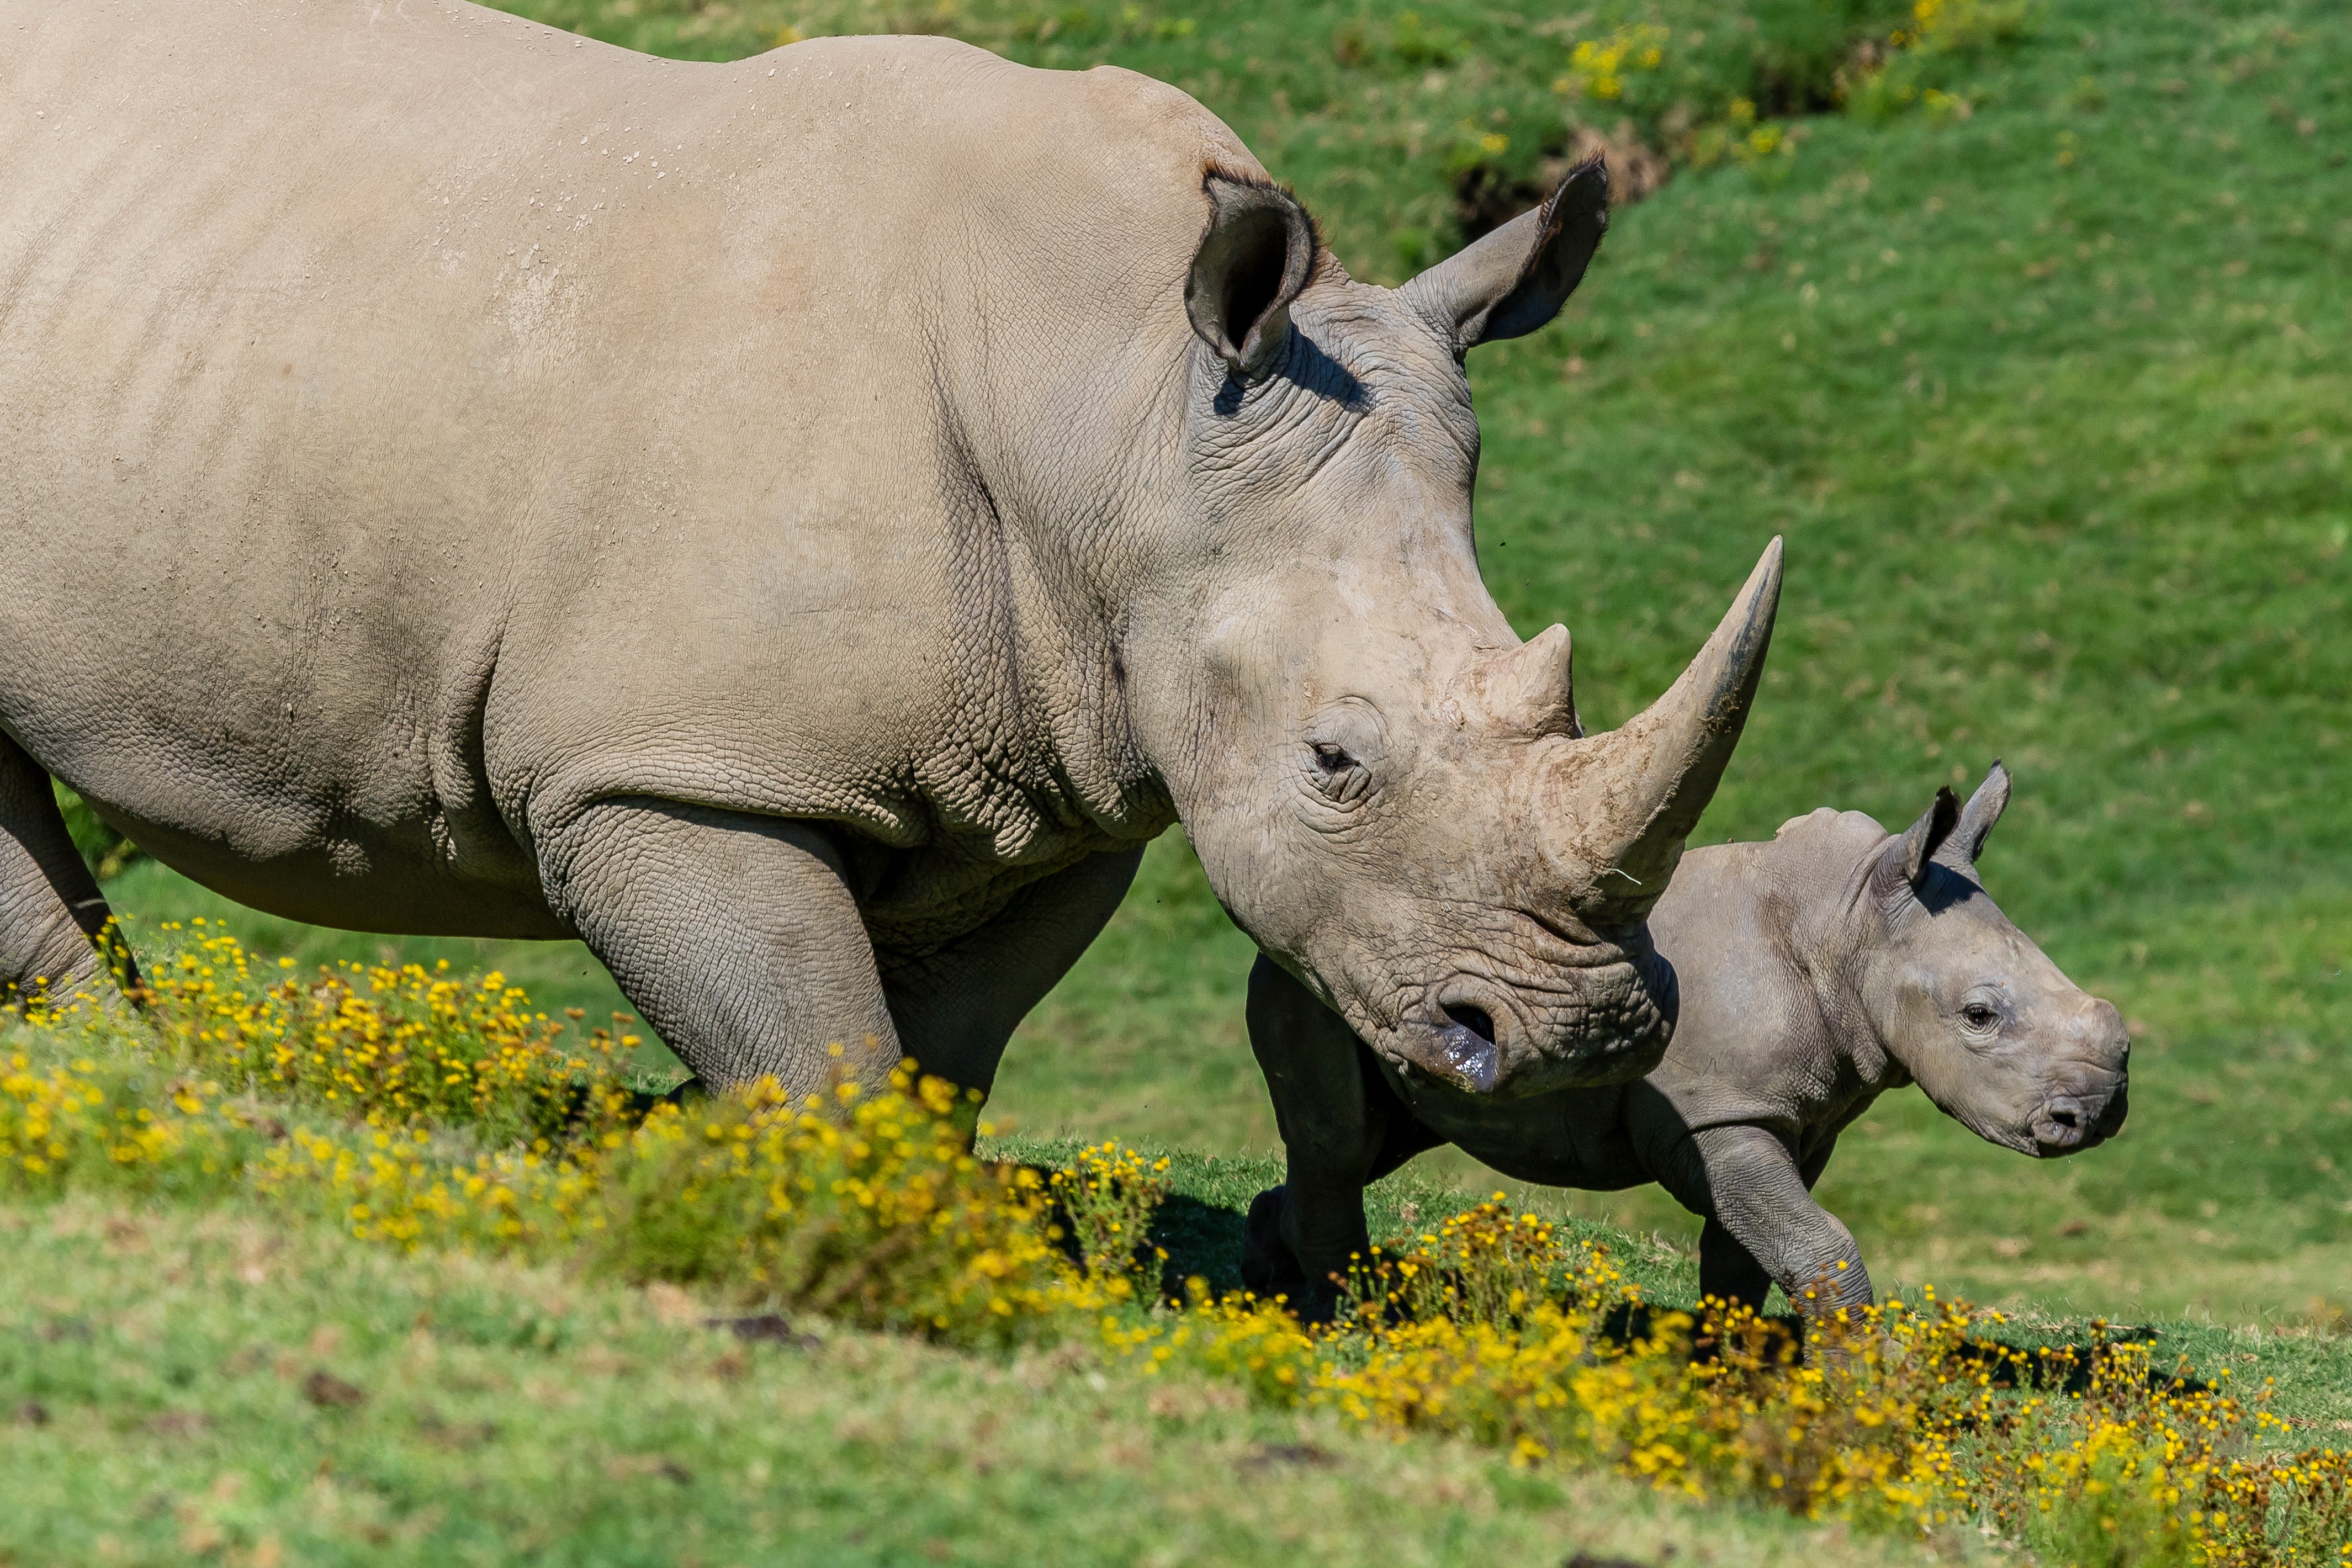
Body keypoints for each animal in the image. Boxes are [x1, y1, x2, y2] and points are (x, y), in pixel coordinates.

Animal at [1, 1, 1779, 1109]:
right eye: (1335, 764)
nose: (1582, 1039)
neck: (1116, 408)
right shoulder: (670, 767)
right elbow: (820, 1049)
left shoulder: (1056, 780)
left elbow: (934, 1065)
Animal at [1243, 764, 2132, 1317]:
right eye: (1979, 1016)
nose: (2094, 1116)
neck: (1849, 925)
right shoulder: (1720, 1111)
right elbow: (1818, 1246)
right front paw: (1859, 1396)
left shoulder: (1795, 1116)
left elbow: (1749, 1257)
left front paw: (1726, 1371)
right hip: (1316, 974)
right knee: (1341, 1140)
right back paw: (1347, 1318)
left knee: (1380, 1138)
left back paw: (1271, 1282)